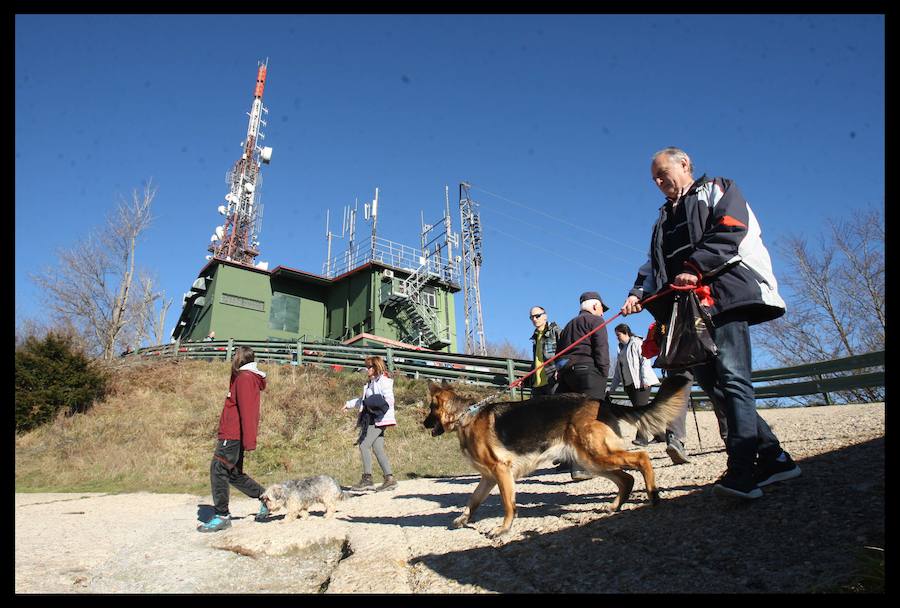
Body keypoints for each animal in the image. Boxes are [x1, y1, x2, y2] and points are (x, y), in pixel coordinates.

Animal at [426, 378, 692, 540]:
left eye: (430, 409)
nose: (424, 424)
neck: (464, 416)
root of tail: (600, 401)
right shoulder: (489, 478)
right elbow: (473, 500)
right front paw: (463, 519)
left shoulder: (501, 473)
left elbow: (508, 505)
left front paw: (503, 529)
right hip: (590, 460)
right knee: (626, 479)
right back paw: (614, 506)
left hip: (596, 454)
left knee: (642, 458)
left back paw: (653, 495)